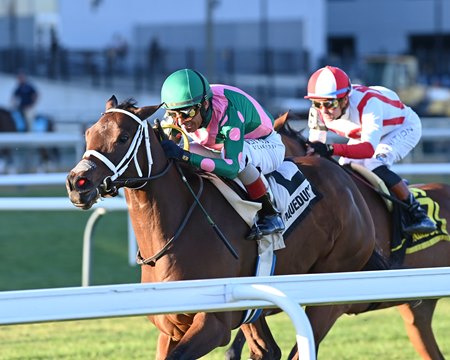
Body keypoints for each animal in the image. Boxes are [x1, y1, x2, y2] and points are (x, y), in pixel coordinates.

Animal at [66, 97, 390, 358]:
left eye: (123, 137)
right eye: (88, 134)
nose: (77, 183)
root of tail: (348, 183)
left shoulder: (214, 323)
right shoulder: (169, 325)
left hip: (328, 292)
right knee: (268, 350)